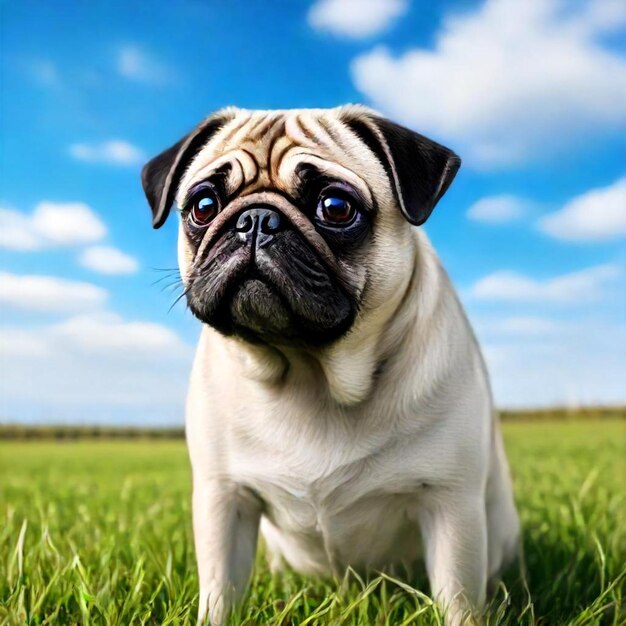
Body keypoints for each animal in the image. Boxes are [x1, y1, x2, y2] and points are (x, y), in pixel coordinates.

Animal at [140, 105, 516, 620]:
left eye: (335, 207)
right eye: (203, 205)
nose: (256, 220)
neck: (308, 372)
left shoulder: (450, 506)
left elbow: (457, 602)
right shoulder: (224, 498)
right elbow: (220, 593)